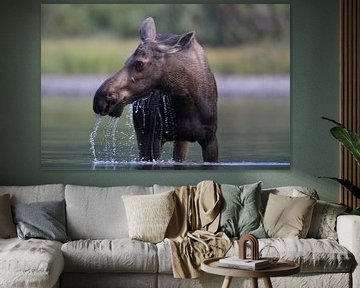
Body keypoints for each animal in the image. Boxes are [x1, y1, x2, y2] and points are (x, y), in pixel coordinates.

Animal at [93, 17, 218, 162]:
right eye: (126, 60)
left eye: (140, 63)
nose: (100, 99)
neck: (188, 105)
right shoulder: (153, 137)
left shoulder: (210, 138)